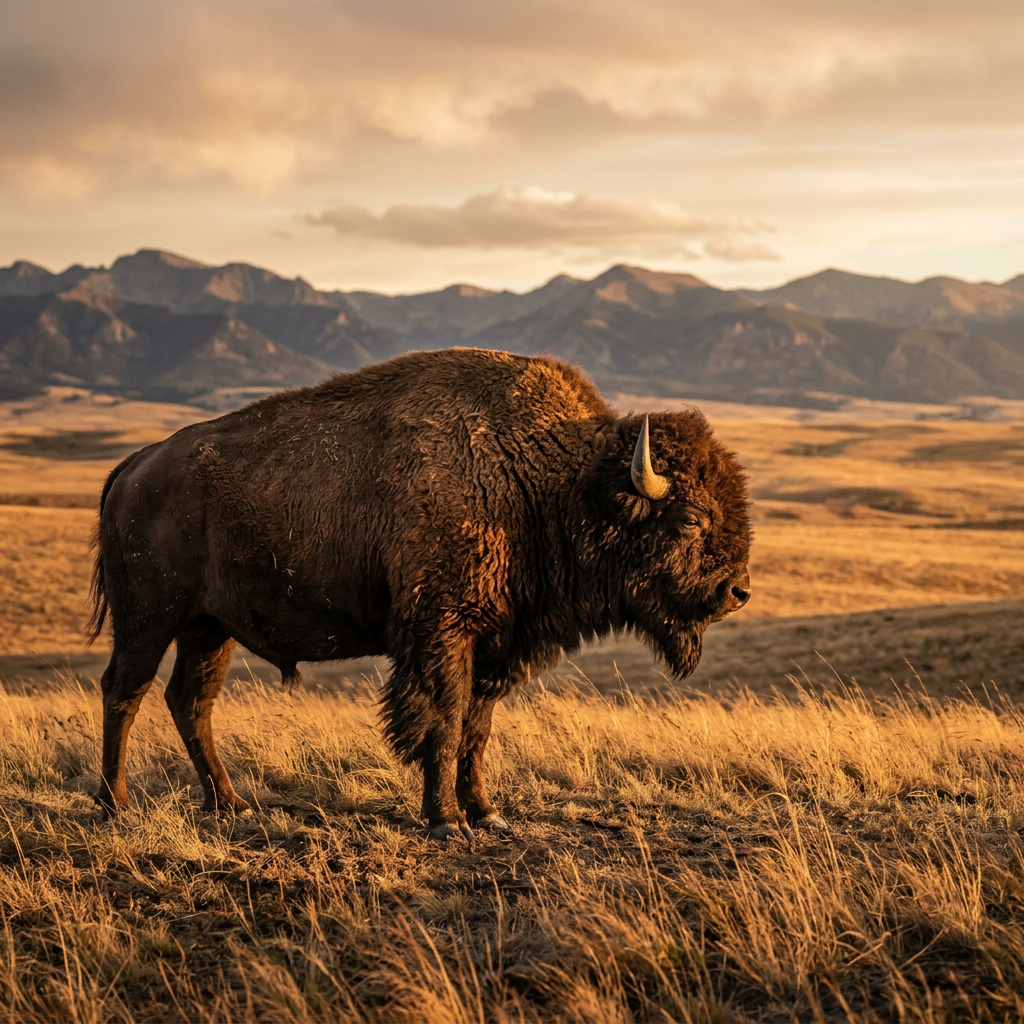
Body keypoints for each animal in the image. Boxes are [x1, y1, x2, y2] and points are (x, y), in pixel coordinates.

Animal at [90, 348, 751, 840]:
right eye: (692, 518)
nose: (737, 591)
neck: (547, 480)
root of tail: (133, 467)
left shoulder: (494, 645)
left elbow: (477, 729)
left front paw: (486, 813)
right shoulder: (443, 632)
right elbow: (445, 720)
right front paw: (446, 821)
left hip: (210, 629)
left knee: (190, 701)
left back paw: (229, 804)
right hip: (148, 619)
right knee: (125, 691)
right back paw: (115, 805)